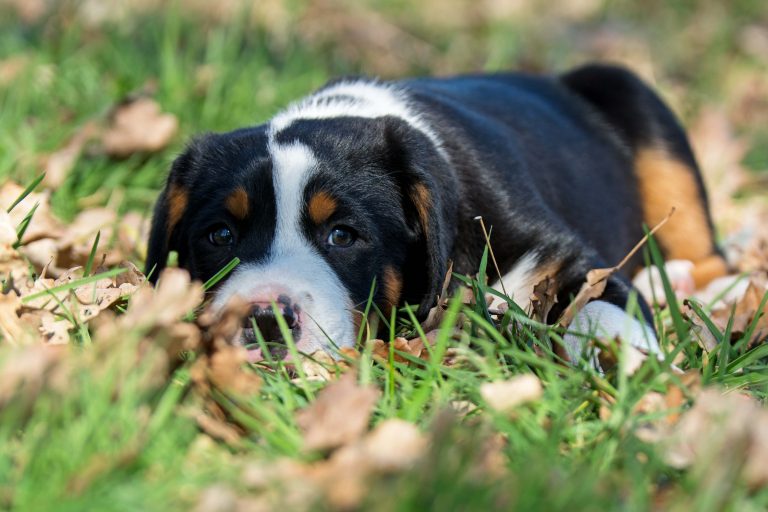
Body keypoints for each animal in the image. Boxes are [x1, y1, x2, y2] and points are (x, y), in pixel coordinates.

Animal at [144, 63, 728, 360]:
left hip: (628, 91)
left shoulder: (570, 255)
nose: (265, 321)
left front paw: (622, 360)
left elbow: (603, 303)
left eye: (342, 236)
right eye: (220, 236)